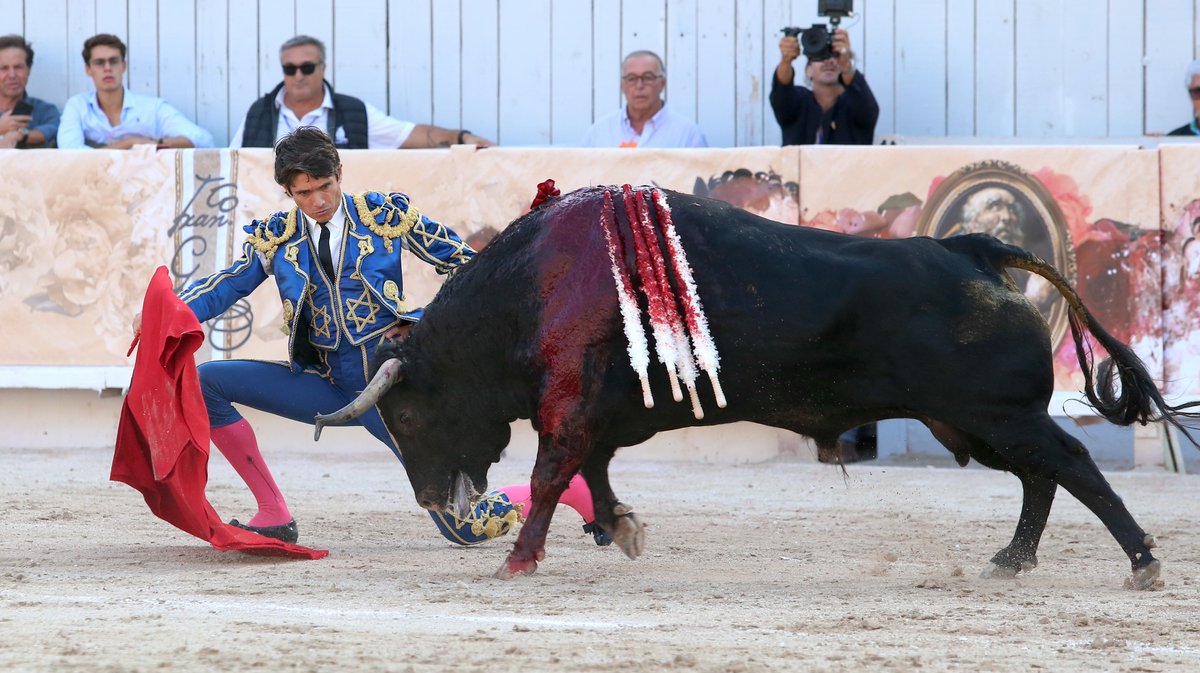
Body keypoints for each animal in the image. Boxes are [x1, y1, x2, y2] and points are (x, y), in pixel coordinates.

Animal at [314, 185, 1195, 585]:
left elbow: (552, 472)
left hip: (995, 412)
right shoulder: (602, 413)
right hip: (974, 423)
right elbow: (592, 472)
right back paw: (1012, 558)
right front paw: (621, 528)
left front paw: (519, 560)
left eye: (407, 415)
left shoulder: (568, 408)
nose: (432, 498)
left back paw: (1142, 559)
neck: (535, 284)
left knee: (1069, 463)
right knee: (1041, 477)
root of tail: (969, 249)